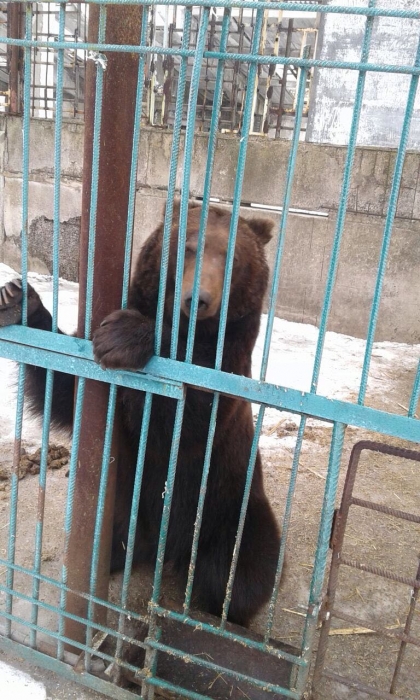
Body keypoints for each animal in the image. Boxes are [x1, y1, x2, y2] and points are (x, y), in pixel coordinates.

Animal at [0, 200, 282, 628]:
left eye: (233, 257)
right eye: (188, 247)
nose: (199, 299)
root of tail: (166, 553)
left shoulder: (228, 368)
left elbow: (189, 417)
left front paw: (124, 336)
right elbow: (66, 383)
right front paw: (18, 299)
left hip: (231, 510)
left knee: (240, 570)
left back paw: (225, 614)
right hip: (123, 506)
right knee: (102, 537)